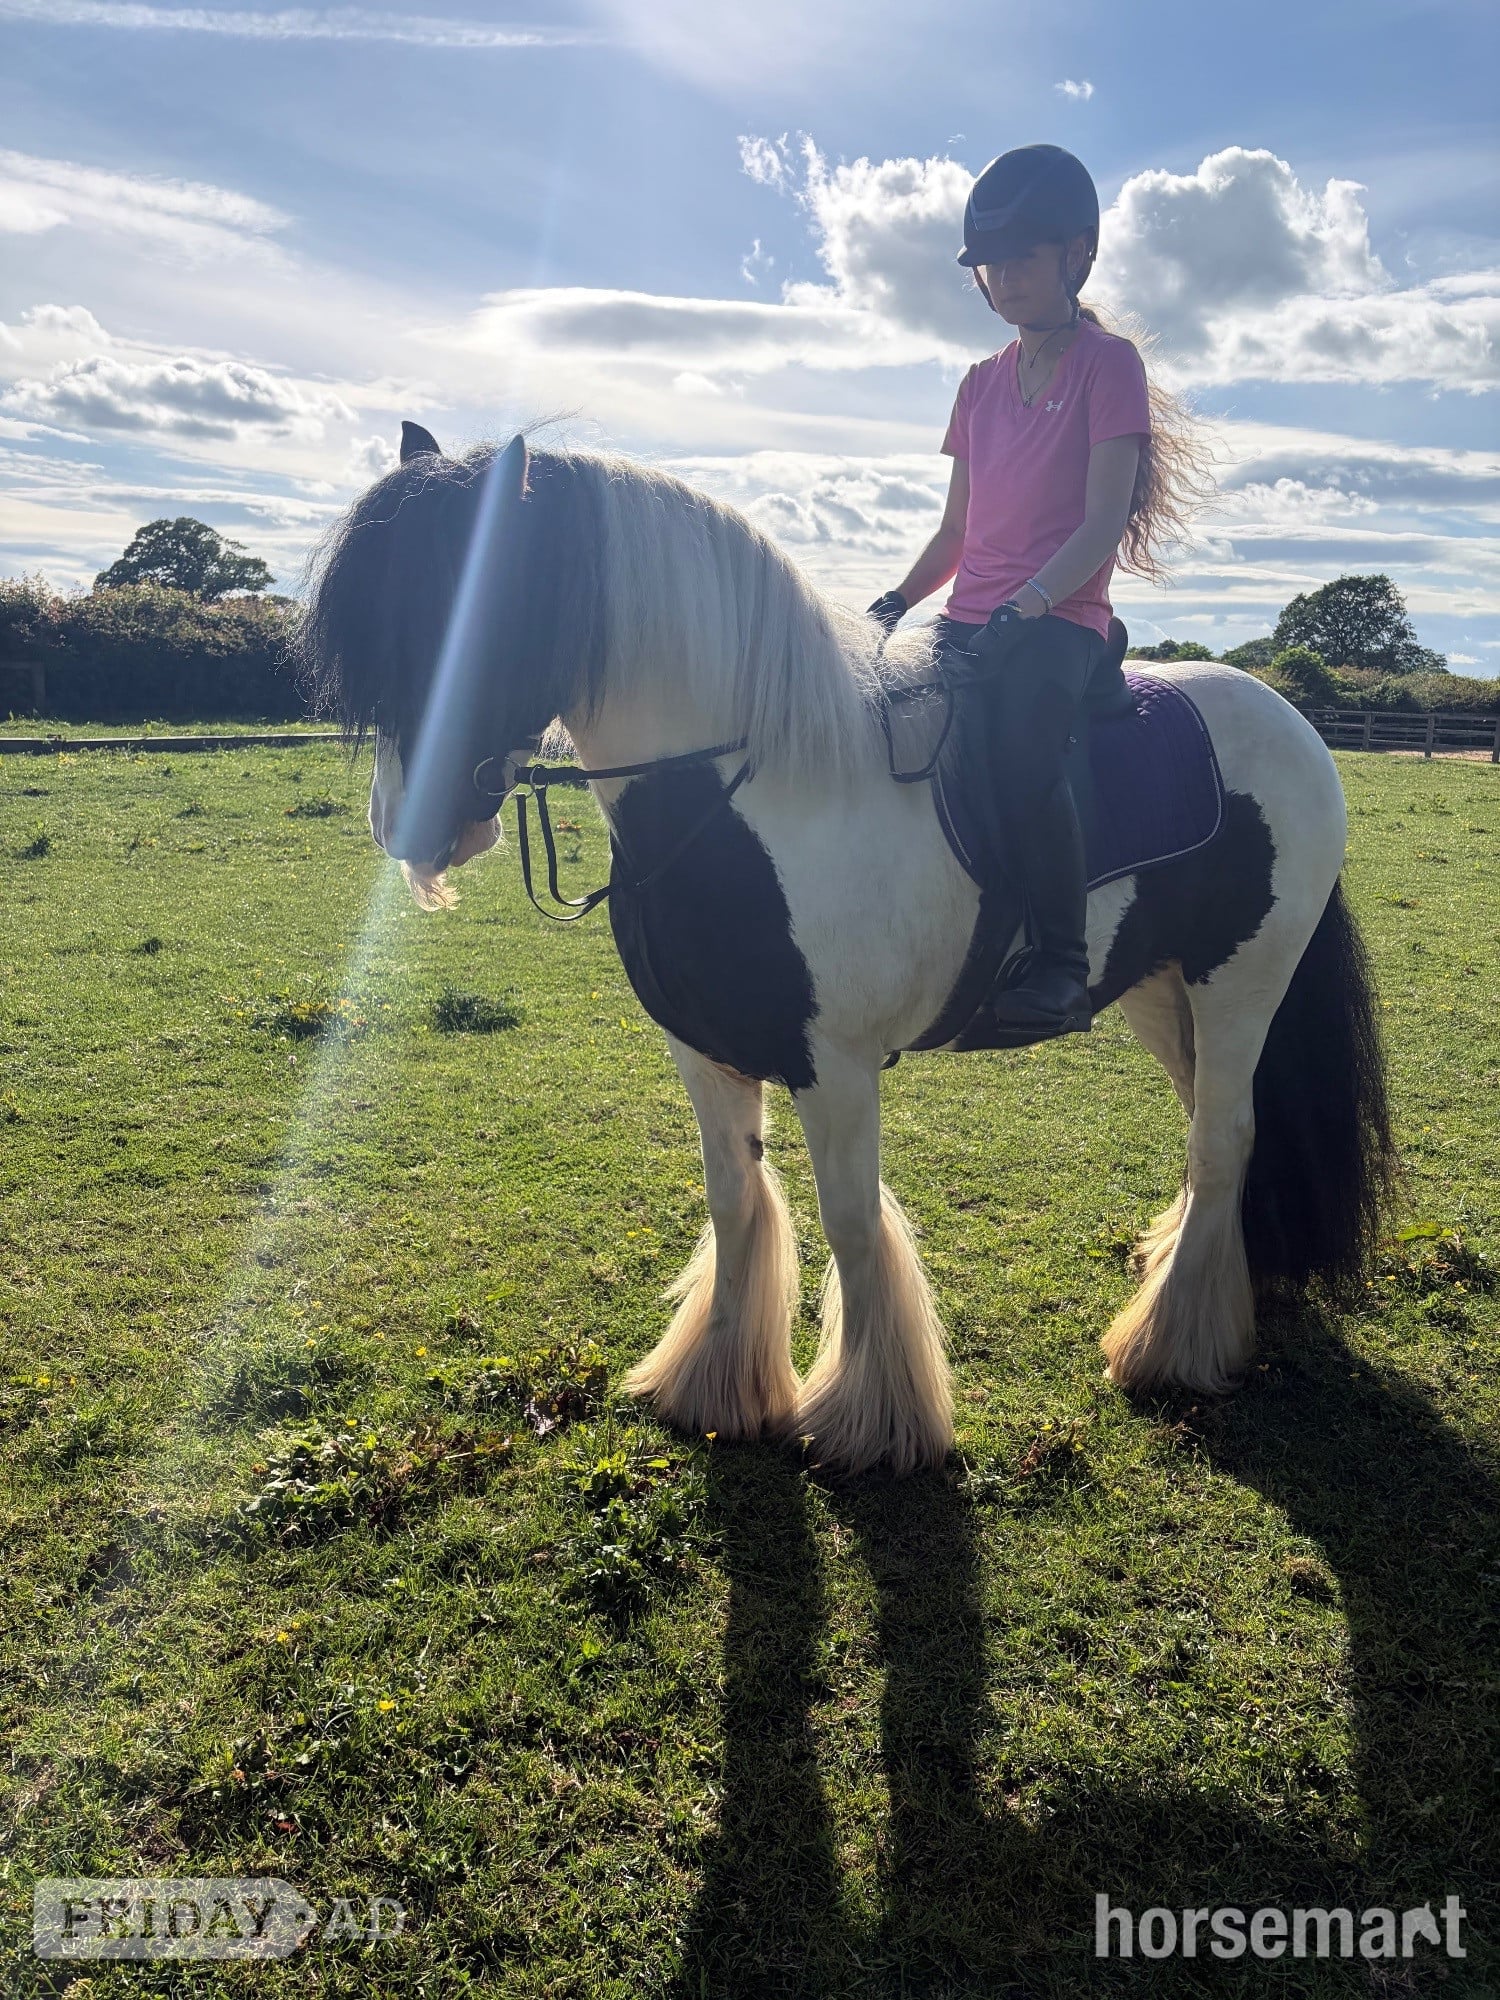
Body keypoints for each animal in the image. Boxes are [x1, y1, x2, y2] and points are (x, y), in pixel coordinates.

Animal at [296, 427, 1396, 1478]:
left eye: (481, 608)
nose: (409, 825)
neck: (752, 791)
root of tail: (1288, 721)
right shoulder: (706, 1053)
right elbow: (736, 1205)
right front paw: (715, 1388)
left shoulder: (836, 1066)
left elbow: (853, 1223)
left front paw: (873, 1425)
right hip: (1160, 991)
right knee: (1214, 1127)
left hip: (1240, 982)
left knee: (1224, 1138)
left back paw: (1169, 1345)